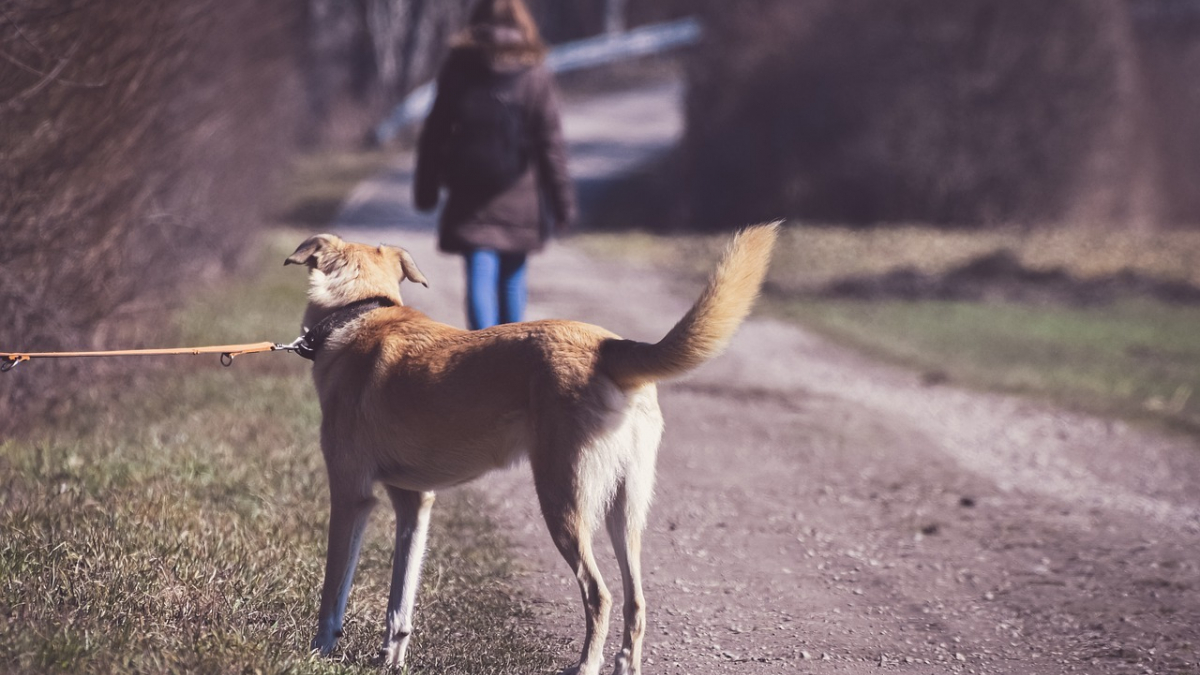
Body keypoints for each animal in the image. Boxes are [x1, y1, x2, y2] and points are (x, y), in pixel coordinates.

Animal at [286, 223, 782, 672]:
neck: (360, 314)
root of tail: (608, 346)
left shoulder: (351, 496)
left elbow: (334, 590)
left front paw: (318, 651)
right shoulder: (415, 502)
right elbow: (400, 598)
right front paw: (390, 658)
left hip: (564, 501)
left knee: (599, 594)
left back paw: (586, 665)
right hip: (625, 510)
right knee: (636, 602)